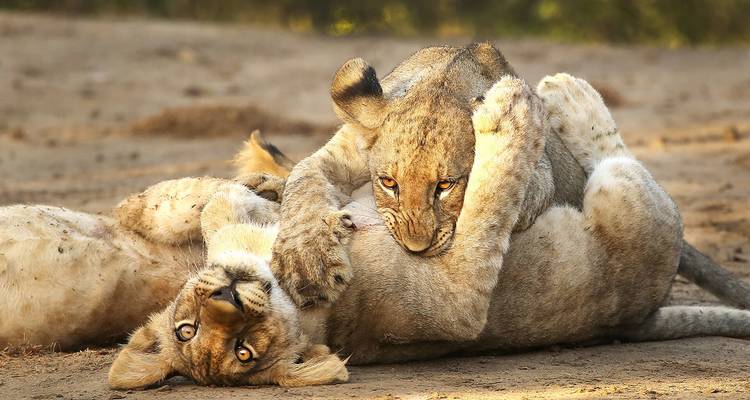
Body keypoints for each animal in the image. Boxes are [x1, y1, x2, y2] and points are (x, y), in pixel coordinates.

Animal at [104, 74, 750, 388]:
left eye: (184, 327)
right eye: (243, 353)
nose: (228, 295)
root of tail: (640, 318)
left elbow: (219, 200)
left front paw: (155, 206)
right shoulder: (459, 303)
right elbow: (488, 201)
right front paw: (505, 115)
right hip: (626, 194)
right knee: (616, 157)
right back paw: (561, 93)